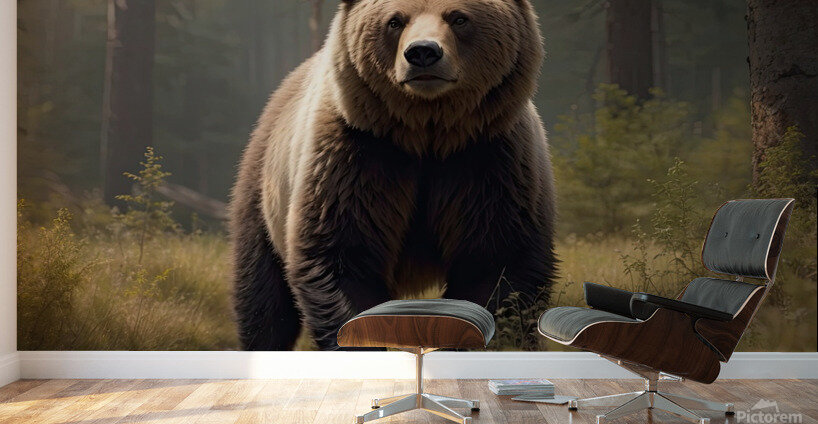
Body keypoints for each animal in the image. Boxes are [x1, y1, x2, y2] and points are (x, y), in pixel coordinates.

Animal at [230, 0, 557, 351]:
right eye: (395, 21)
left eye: (459, 18)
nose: (423, 53)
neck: (427, 134)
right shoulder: (358, 154)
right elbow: (343, 256)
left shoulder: (488, 158)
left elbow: (497, 262)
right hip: (265, 192)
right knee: (264, 300)